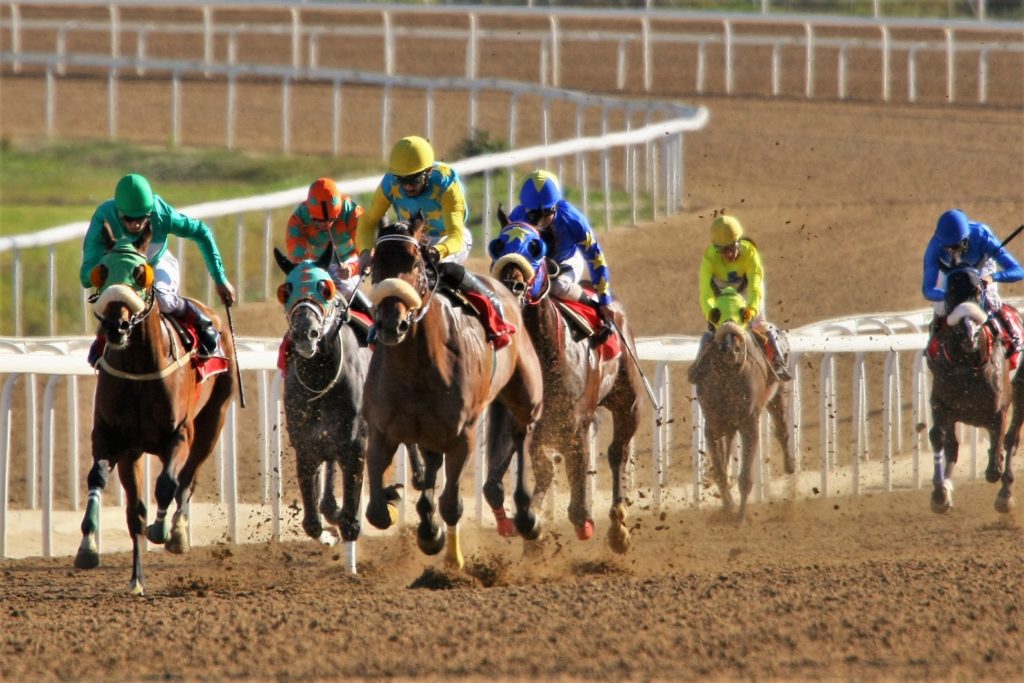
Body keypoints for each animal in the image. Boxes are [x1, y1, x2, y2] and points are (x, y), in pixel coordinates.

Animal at [73, 223, 234, 593]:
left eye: (139, 273)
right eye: (102, 271)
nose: (115, 326)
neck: (138, 366)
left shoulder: (180, 434)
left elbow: (167, 484)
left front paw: (163, 530)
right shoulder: (110, 437)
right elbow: (99, 477)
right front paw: (88, 547)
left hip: (213, 422)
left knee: (188, 478)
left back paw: (177, 533)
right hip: (134, 453)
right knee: (136, 512)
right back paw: (136, 579)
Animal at [362, 216, 544, 569]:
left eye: (415, 263)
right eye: (376, 264)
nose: (392, 323)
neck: (415, 367)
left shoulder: (464, 435)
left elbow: (451, 504)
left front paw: (449, 554)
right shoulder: (382, 431)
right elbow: (376, 511)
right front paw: (400, 505)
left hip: (526, 395)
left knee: (520, 435)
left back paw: (526, 515)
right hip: (430, 432)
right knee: (432, 464)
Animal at [487, 214, 638, 557]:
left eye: (535, 247)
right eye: (498, 244)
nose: (512, 284)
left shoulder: (573, 421)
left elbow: (574, 476)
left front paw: (580, 521)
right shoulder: (513, 418)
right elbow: (495, 484)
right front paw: (524, 524)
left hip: (628, 403)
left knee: (617, 452)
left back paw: (618, 529)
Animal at [692, 288, 794, 524]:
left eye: (741, 311)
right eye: (717, 312)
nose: (731, 349)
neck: (727, 376)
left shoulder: (749, 423)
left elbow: (746, 477)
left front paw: (740, 518)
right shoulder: (713, 424)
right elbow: (720, 471)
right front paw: (727, 506)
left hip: (778, 394)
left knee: (782, 430)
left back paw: (790, 465)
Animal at [929, 266, 1015, 511]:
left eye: (978, 291)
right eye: (950, 292)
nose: (970, 334)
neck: (967, 366)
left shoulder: (998, 409)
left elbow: (995, 464)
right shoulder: (940, 403)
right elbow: (940, 438)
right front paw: (941, 492)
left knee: (1012, 439)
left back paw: (1005, 494)